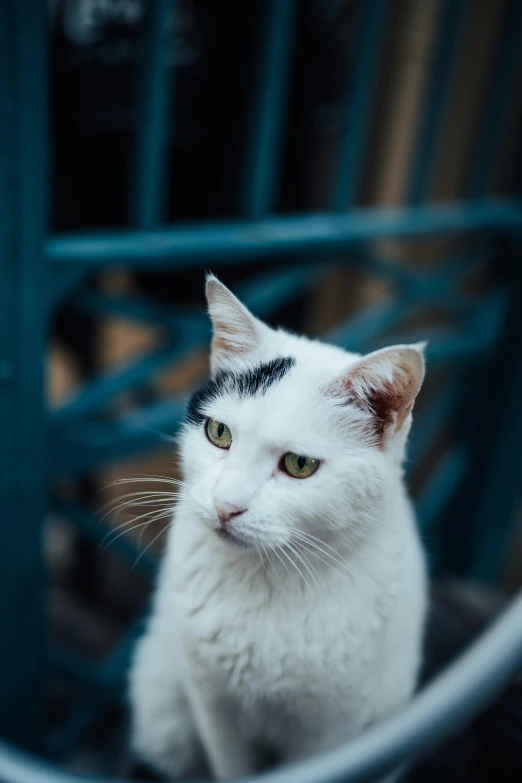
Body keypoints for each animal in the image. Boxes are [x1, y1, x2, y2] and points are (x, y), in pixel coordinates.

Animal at [128, 274, 424, 776]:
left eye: (299, 464)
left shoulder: (332, 728)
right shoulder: (213, 707)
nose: (226, 505)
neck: (266, 583)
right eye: (219, 433)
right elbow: (231, 766)